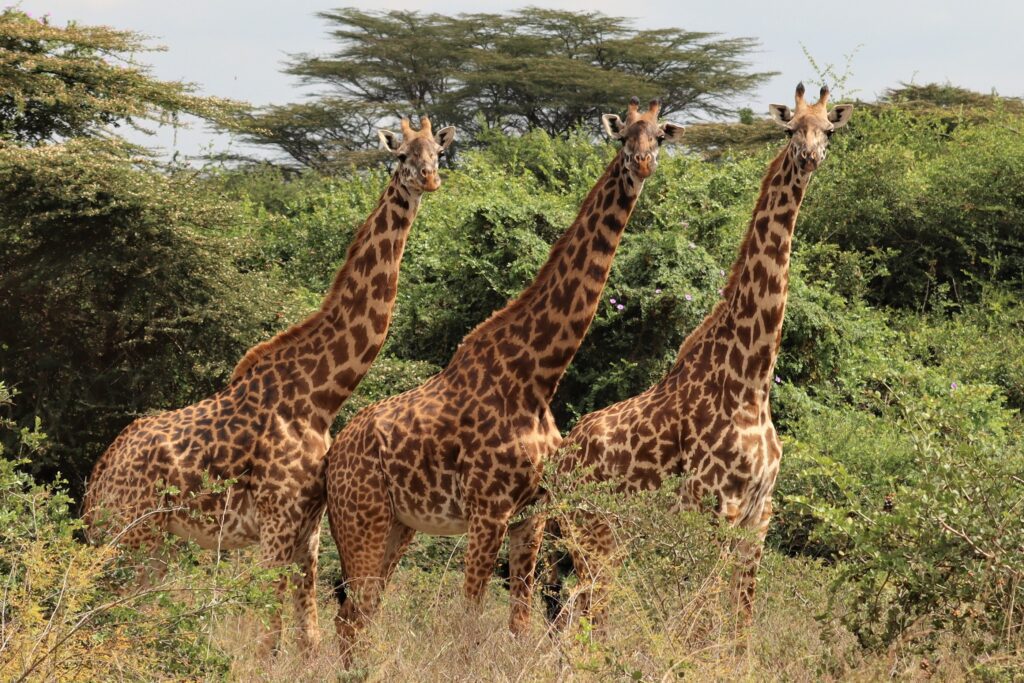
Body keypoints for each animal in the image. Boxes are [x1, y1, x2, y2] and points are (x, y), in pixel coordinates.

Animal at [83, 116, 456, 651]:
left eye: (438, 153)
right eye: (401, 155)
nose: (429, 179)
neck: (321, 396)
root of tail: (96, 480)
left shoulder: (308, 529)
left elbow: (307, 637)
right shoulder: (277, 523)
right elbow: (267, 636)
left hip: (156, 542)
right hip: (127, 534)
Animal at [323, 96, 684, 655]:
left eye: (660, 137)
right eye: (624, 137)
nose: (642, 164)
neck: (536, 375)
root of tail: (331, 457)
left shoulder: (528, 515)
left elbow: (520, 623)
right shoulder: (487, 510)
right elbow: (469, 621)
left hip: (398, 526)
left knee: (358, 616)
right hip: (362, 516)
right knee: (353, 614)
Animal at [544, 83, 856, 630]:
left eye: (828, 130)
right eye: (790, 128)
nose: (809, 156)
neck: (751, 380)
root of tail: (561, 459)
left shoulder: (759, 514)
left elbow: (740, 622)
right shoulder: (716, 505)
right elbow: (702, 618)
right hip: (593, 530)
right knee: (585, 610)